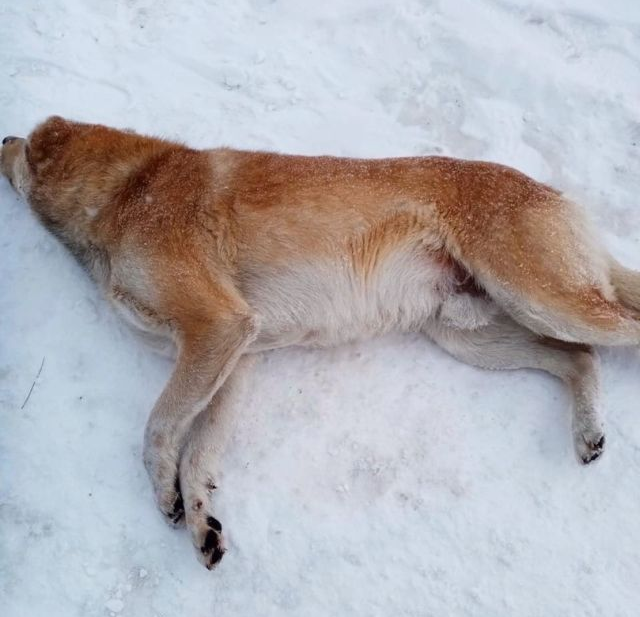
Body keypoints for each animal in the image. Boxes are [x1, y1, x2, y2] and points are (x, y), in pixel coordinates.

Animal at [1, 116, 640, 568]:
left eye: (22, 142)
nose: (3, 136)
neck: (130, 187)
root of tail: (556, 194)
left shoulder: (217, 328)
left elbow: (157, 431)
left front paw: (165, 498)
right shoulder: (234, 357)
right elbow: (199, 453)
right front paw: (203, 525)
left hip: (539, 297)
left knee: (614, 332)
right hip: (469, 335)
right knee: (579, 358)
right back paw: (588, 432)